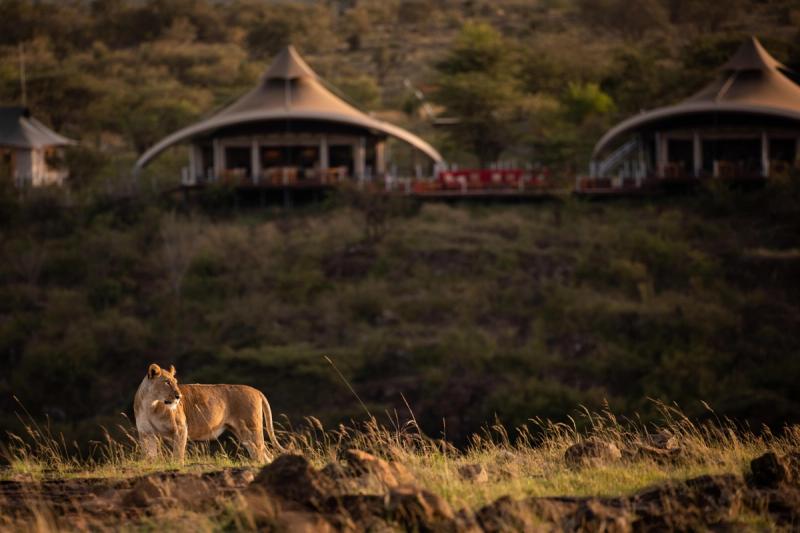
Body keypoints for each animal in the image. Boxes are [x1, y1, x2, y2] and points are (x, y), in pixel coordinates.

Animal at [133, 363, 284, 463]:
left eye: (175, 382)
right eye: (166, 382)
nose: (179, 396)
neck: (151, 405)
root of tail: (257, 391)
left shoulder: (181, 429)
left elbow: (178, 455)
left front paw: (177, 466)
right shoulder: (146, 433)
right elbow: (149, 456)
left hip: (251, 430)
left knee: (263, 455)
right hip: (244, 434)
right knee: (264, 455)